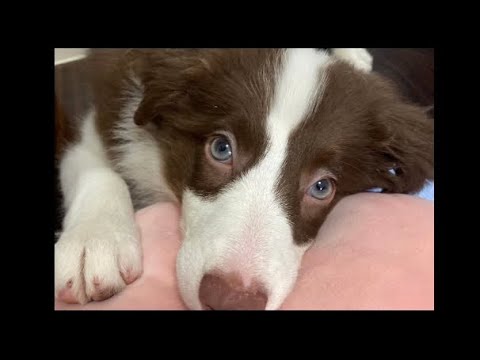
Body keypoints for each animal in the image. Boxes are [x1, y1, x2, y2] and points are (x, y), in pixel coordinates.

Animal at [54, 48, 434, 310]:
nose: (229, 300)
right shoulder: (107, 119)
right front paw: (93, 241)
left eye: (322, 187)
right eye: (221, 148)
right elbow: (97, 170)